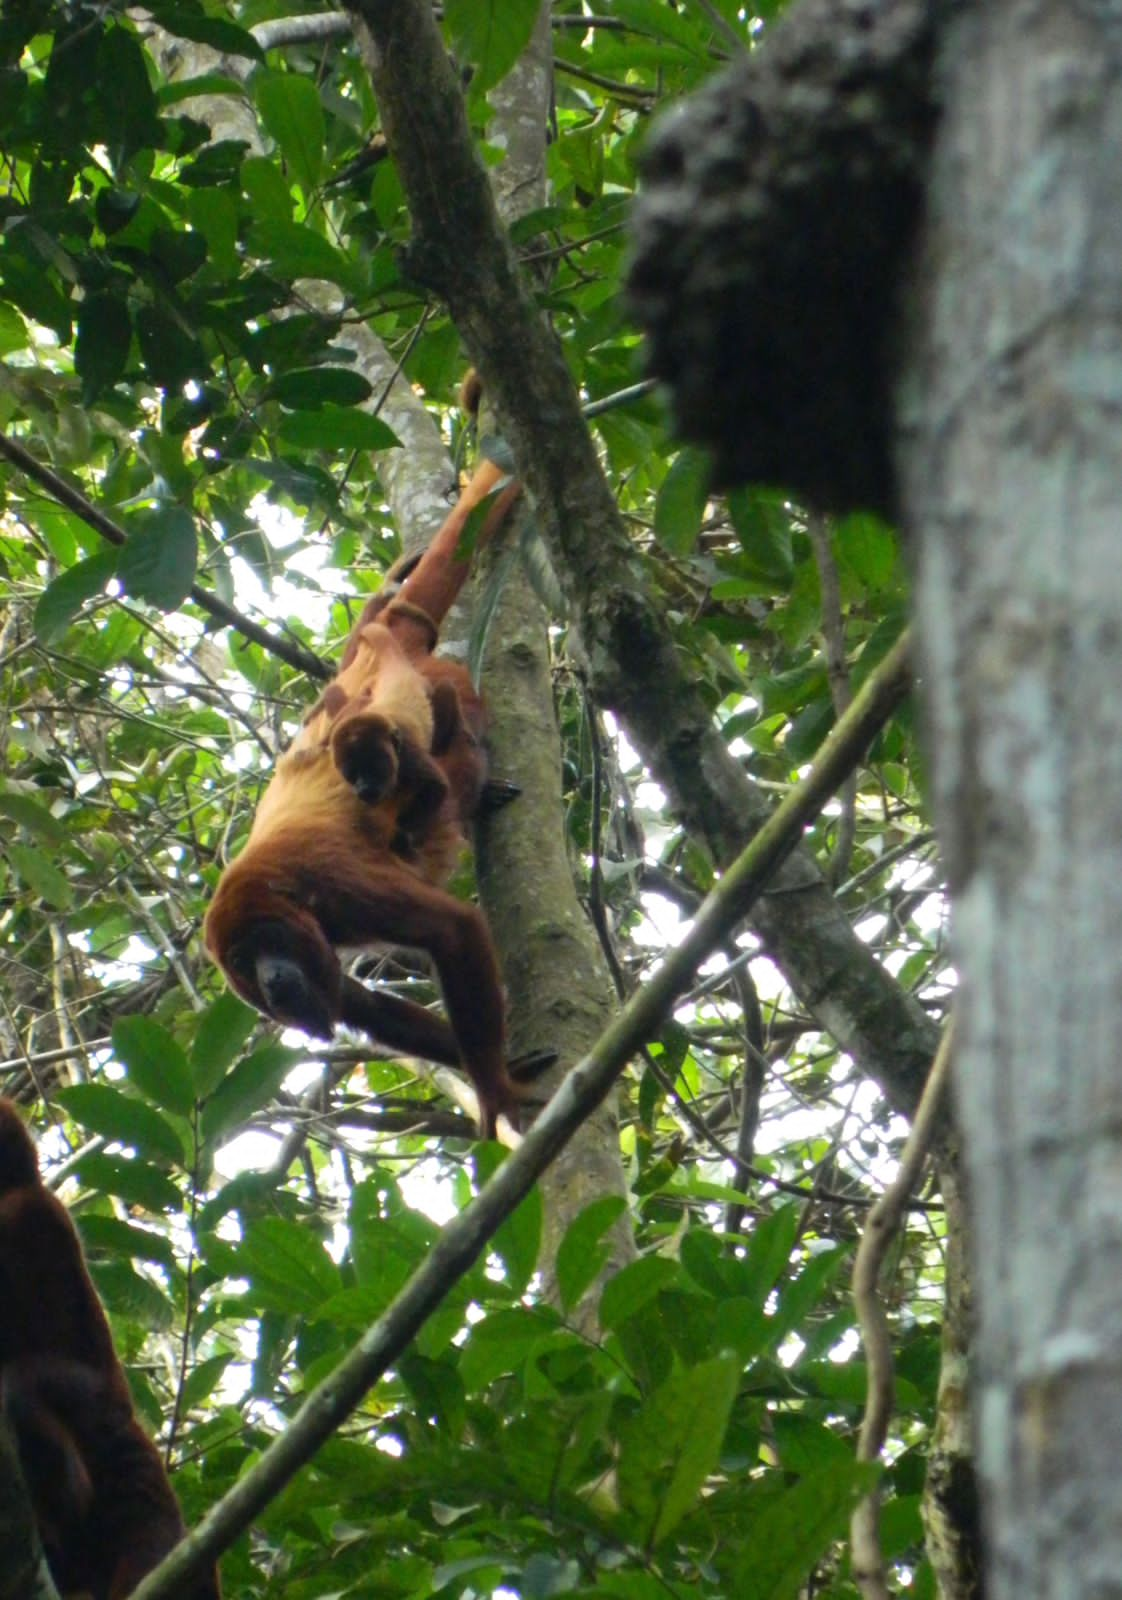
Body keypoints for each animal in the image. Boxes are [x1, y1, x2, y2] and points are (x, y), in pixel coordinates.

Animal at [201, 460, 534, 1139]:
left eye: (262, 949)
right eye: (245, 967)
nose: (273, 984)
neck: (280, 894)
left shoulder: (331, 881)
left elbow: (454, 929)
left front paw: (496, 1089)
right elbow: (367, 1008)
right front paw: (514, 1069)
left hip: (441, 689)